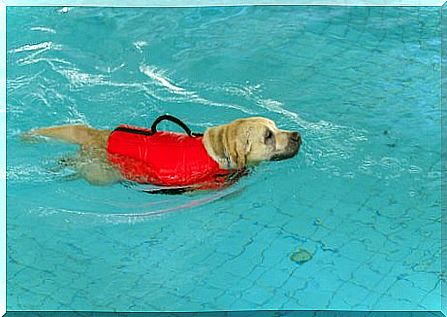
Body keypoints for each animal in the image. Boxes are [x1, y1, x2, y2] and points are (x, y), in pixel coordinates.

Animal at [24, 116, 304, 190]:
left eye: (276, 126)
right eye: (268, 137)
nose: (297, 135)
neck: (220, 150)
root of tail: (97, 133)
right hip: (98, 174)